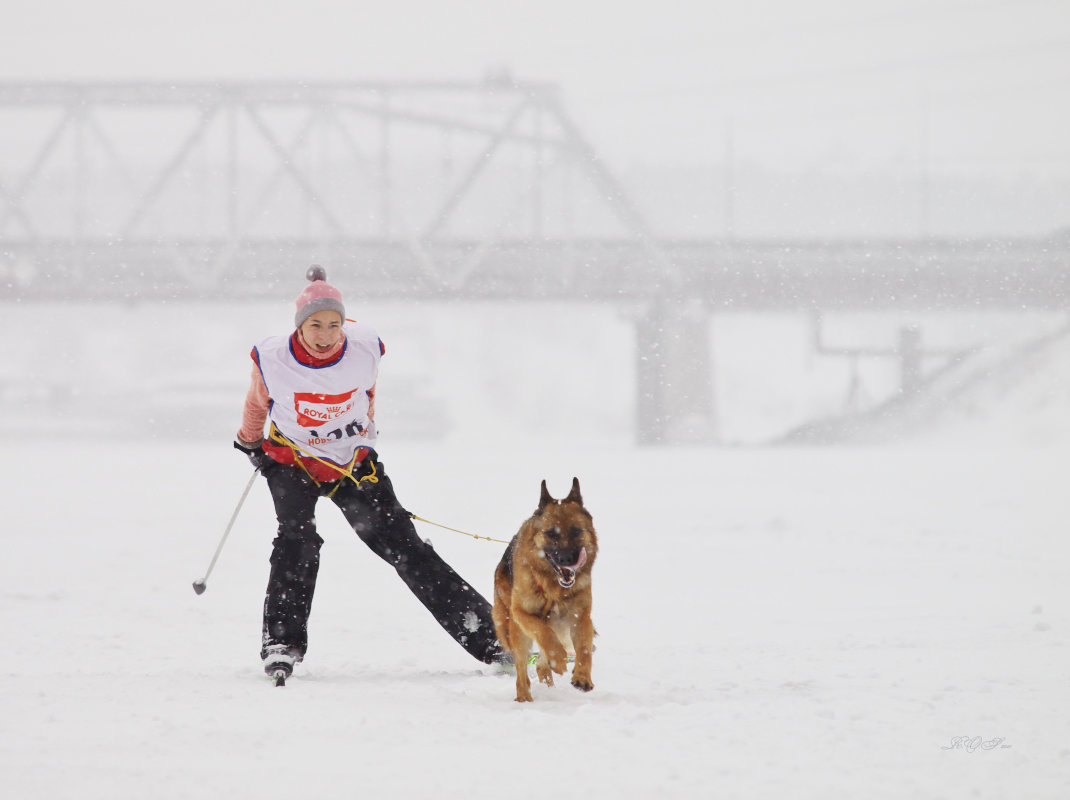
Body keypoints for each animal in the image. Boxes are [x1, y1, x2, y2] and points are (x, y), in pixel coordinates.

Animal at [490, 479, 594, 701]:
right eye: (551, 533)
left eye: (576, 531)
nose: (567, 559)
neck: (554, 589)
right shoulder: (521, 613)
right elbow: (543, 632)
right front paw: (559, 660)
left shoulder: (580, 617)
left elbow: (584, 650)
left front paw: (582, 676)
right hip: (516, 630)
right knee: (522, 672)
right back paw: (524, 699)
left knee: (540, 665)